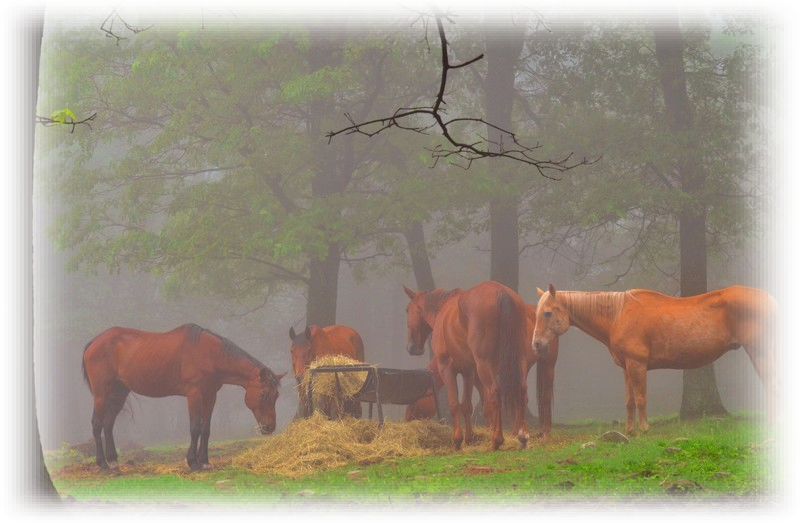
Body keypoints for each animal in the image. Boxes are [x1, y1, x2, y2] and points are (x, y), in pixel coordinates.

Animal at [81, 326, 286, 472]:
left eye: (276, 396)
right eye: (264, 394)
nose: (270, 427)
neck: (211, 354)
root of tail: (94, 342)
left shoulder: (210, 395)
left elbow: (205, 429)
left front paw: (204, 462)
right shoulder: (194, 394)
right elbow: (194, 428)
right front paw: (193, 463)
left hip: (119, 393)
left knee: (108, 424)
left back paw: (114, 462)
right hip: (101, 394)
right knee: (97, 424)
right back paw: (103, 464)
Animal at [404, 302, 560, 438]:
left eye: (414, 403)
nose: (406, 421)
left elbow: (486, 404)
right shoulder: (477, 378)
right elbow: (485, 403)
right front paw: (489, 429)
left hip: (548, 364)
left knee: (545, 396)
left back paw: (545, 432)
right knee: (522, 397)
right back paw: (518, 431)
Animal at [406, 282, 532, 450]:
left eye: (407, 310)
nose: (411, 347)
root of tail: (501, 292)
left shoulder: (446, 368)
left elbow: (454, 404)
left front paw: (457, 441)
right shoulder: (468, 371)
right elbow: (466, 405)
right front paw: (469, 438)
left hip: (485, 365)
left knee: (494, 392)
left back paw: (496, 440)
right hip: (519, 361)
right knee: (522, 390)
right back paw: (522, 437)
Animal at [536, 284, 784, 436]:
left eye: (547, 313)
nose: (536, 344)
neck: (618, 314)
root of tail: (767, 297)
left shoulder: (637, 364)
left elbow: (640, 398)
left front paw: (644, 429)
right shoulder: (626, 367)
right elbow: (629, 400)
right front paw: (629, 431)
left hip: (759, 352)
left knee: (773, 384)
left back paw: (779, 422)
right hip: (755, 353)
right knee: (768, 384)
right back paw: (770, 422)